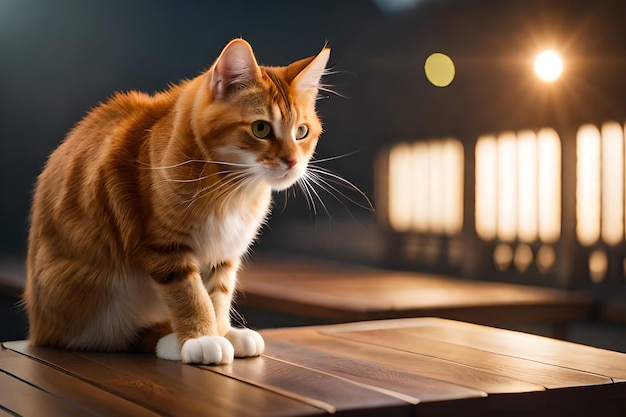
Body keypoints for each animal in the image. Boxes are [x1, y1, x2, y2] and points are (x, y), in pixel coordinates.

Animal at [24, 39, 330, 364]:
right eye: (261, 128)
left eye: (301, 132)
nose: (292, 161)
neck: (232, 190)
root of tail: (38, 328)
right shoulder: (165, 246)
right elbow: (190, 296)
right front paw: (201, 337)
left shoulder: (223, 254)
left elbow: (218, 294)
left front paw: (221, 331)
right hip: (94, 300)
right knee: (117, 337)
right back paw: (172, 341)